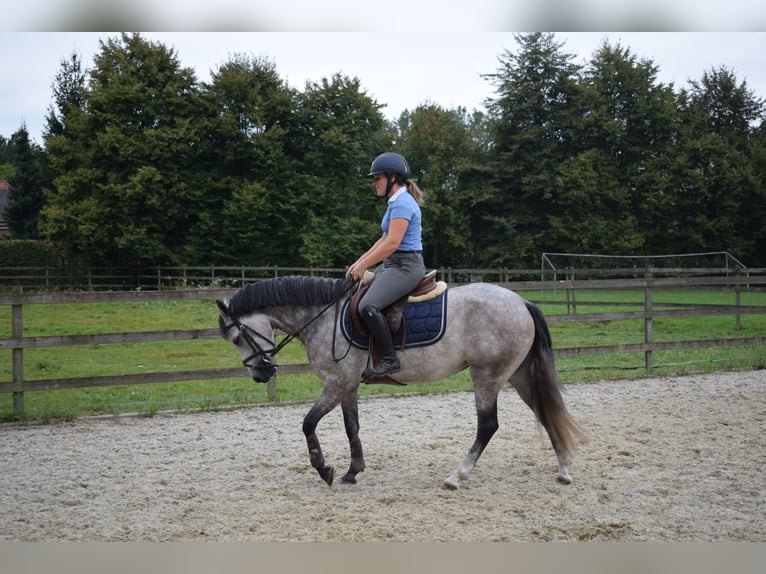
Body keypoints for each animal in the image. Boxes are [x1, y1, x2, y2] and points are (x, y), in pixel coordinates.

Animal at [216, 276, 588, 490]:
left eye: (237, 337)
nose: (260, 375)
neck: (324, 316)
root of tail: (521, 302)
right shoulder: (348, 385)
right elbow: (352, 427)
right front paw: (353, 471)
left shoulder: (336, 383)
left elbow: (307, 423)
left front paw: (324, 469)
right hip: (518, 374)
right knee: (544, 412)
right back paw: (564, 470)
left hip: (487, 375)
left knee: (488, 426)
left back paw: (456, 477)